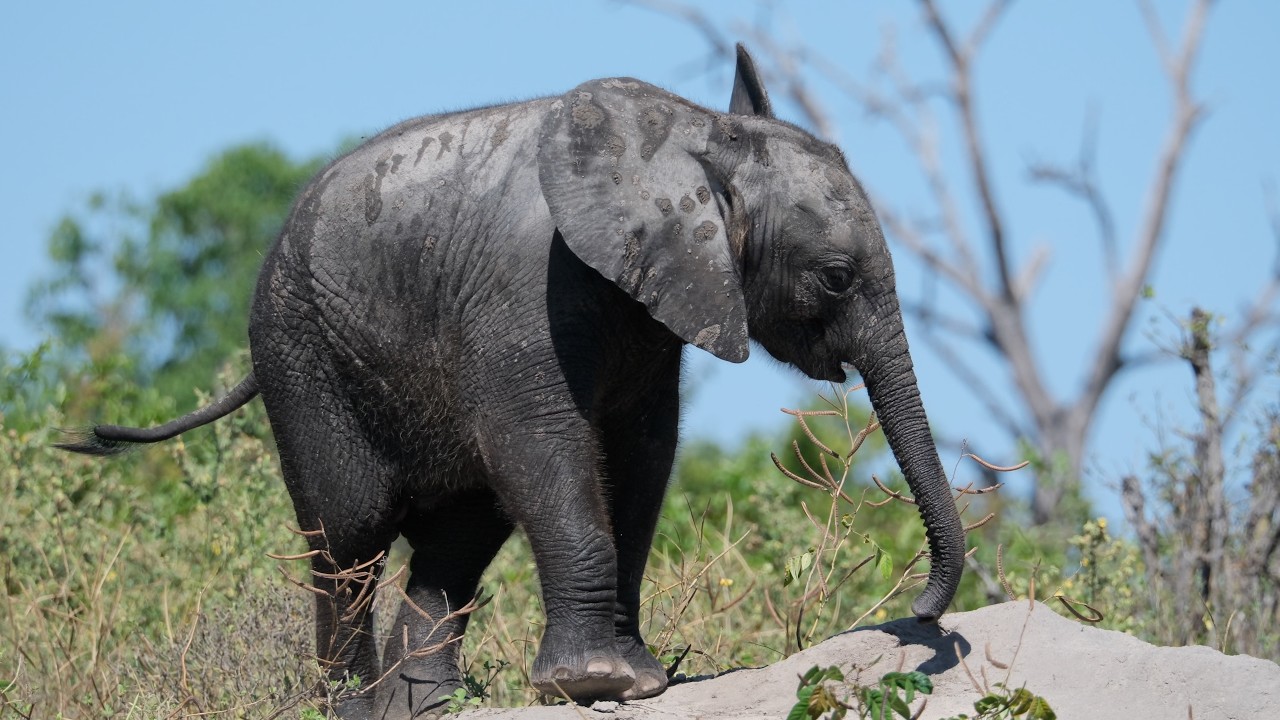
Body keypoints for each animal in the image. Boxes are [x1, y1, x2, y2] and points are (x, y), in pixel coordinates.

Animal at [57, 45, 964, 718]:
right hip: (300, 355)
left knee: (460, 534)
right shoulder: (526, 285)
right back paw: (351, 707)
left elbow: (641, 454)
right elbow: (546, 442)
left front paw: (633, 679)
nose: (920, 613)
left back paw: (429, 708)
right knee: (349, 540)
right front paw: (600, 682)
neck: (692, 135)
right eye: (837, 277)